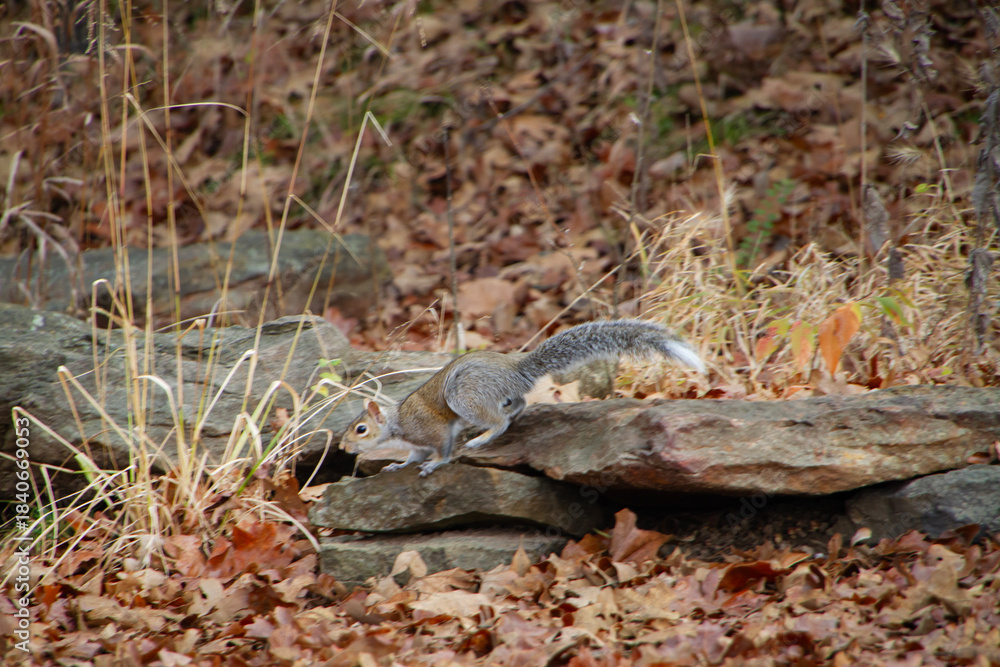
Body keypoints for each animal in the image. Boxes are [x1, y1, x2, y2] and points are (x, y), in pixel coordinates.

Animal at [339, 319, 704, 476]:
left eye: (361, 429)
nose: (342, 447)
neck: (398, 422)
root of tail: (515, 368)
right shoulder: (415, 443)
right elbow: (411, 457)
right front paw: (397, 465)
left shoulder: (432, 431)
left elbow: (441, 450)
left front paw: (435, 464)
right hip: (499, 394)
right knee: (520, 404)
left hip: (465, 397)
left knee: (499, 421)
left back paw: (481, 438)